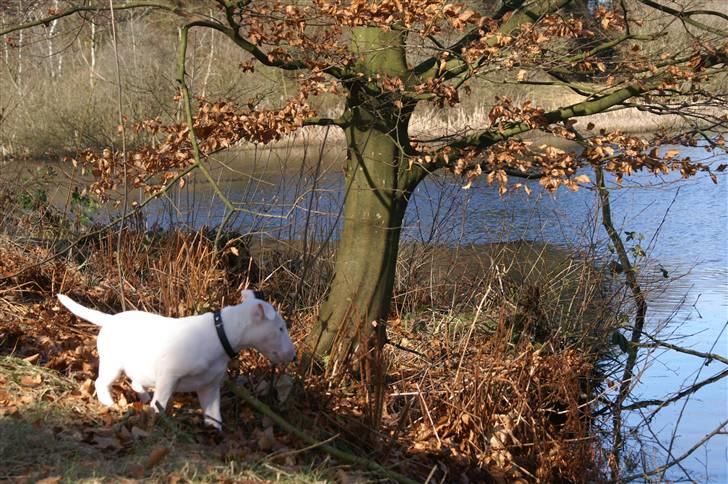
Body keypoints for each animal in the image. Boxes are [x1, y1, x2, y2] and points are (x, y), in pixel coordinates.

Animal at [57, 290, 296, 430]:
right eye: (280, 328)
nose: (293, 355)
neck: (221, 334)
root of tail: (109, 319)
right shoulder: (169, 377)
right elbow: (161, 403)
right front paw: (155, 420)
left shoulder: (209, 387)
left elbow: (214, 415)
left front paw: (214, 433)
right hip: (113, 364)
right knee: (101, 382)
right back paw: (109, 403)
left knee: (136, 381)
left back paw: (143, 396)